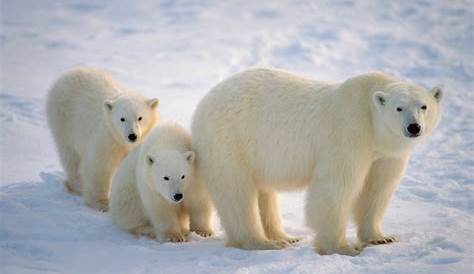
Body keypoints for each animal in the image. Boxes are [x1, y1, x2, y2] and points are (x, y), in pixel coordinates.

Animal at [47, 68, 159, 210]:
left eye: (140, 117)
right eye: (122, 118)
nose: (132, 135)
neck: (123, 142)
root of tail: (67, 74)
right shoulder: (107, 138)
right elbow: (99, 167)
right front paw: (101, 204)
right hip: (63, 121)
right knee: (70, 156)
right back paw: (76, 187)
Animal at [191, 68, 442, 255]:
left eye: (424, 106)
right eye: (399, 108)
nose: (413, 127)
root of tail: (203, 103)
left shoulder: (386, 155)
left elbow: (377, 188)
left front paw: (381, 238)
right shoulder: (348, 133)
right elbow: (335, 187)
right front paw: (342, 247)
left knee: (263, 192)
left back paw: (285, 237)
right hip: (230, 140)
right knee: (237, 193)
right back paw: (264, 242)